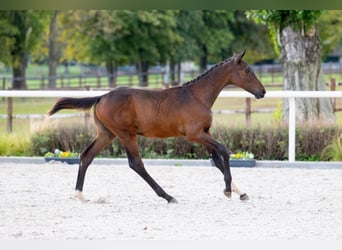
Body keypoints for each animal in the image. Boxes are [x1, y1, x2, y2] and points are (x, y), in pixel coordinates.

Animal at [48, 48, 266, 203]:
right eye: (247, 70)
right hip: (126, 134)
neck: (198, 96)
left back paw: (79, 195)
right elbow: (225, 151)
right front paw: (228, 190)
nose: (262, 91)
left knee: (86, 156)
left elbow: (218, 160)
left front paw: (241, 193)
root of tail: (101, 97)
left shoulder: (205, 132)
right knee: (136, 164)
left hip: (106, 134)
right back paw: (168, 196)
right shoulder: (195, 134)